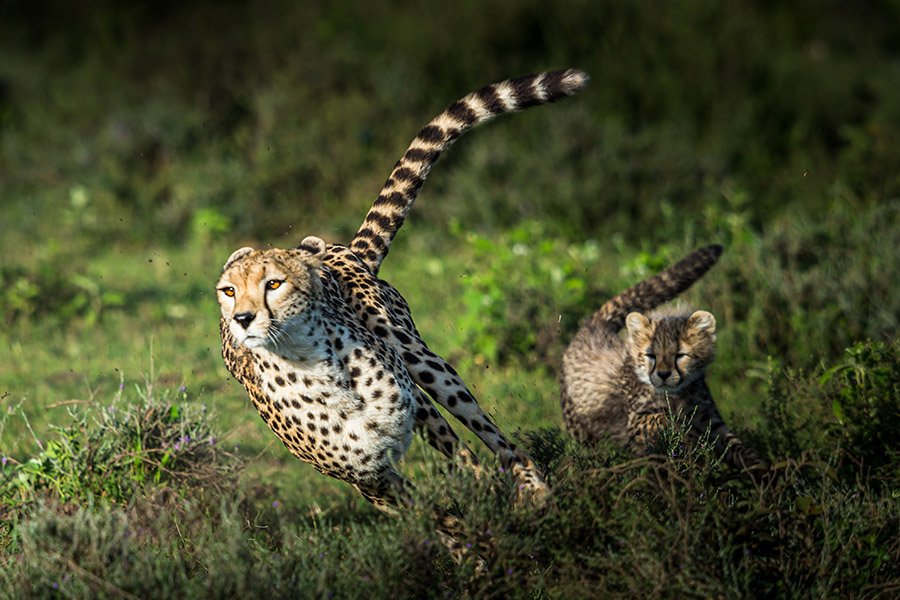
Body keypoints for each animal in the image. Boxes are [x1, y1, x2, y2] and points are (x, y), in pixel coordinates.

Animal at [217, 69, 589, 513]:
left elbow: (467, 464)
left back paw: (534, 489)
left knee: (491, 435)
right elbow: (430, 516)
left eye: (273, 283)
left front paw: (491, 510)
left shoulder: (414, 411)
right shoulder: (368, 478)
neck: (313, 367)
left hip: (420, 360)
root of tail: (340, 249)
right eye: (228, 291)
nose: (242, 319)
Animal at [560, 244, 766, 471]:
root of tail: (594, 327)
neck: (676, 395)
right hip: (581, 429)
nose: (664, 375)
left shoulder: (709, 419)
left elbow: (735, 445)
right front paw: (687, 438)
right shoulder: (635, 421)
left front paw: (762, 469)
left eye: (680, 355)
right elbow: (663, 419)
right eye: (650, 355)